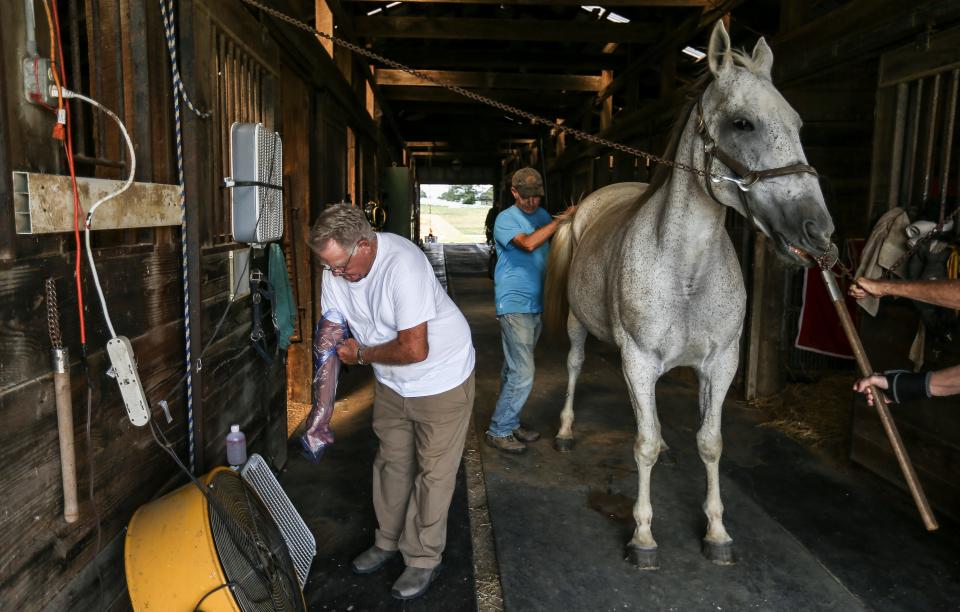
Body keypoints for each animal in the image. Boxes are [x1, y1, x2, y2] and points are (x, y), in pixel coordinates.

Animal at [544, 23, 836, 568]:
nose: (817, 230)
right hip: (577, 325)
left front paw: (717, 531)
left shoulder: (720, 363)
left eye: (798, 122)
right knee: (574, 366)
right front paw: (642, 536)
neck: (685, 269)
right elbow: (642, 443)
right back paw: (567, 432)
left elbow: (709, 441)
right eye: (743, 123)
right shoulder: (638, 360)